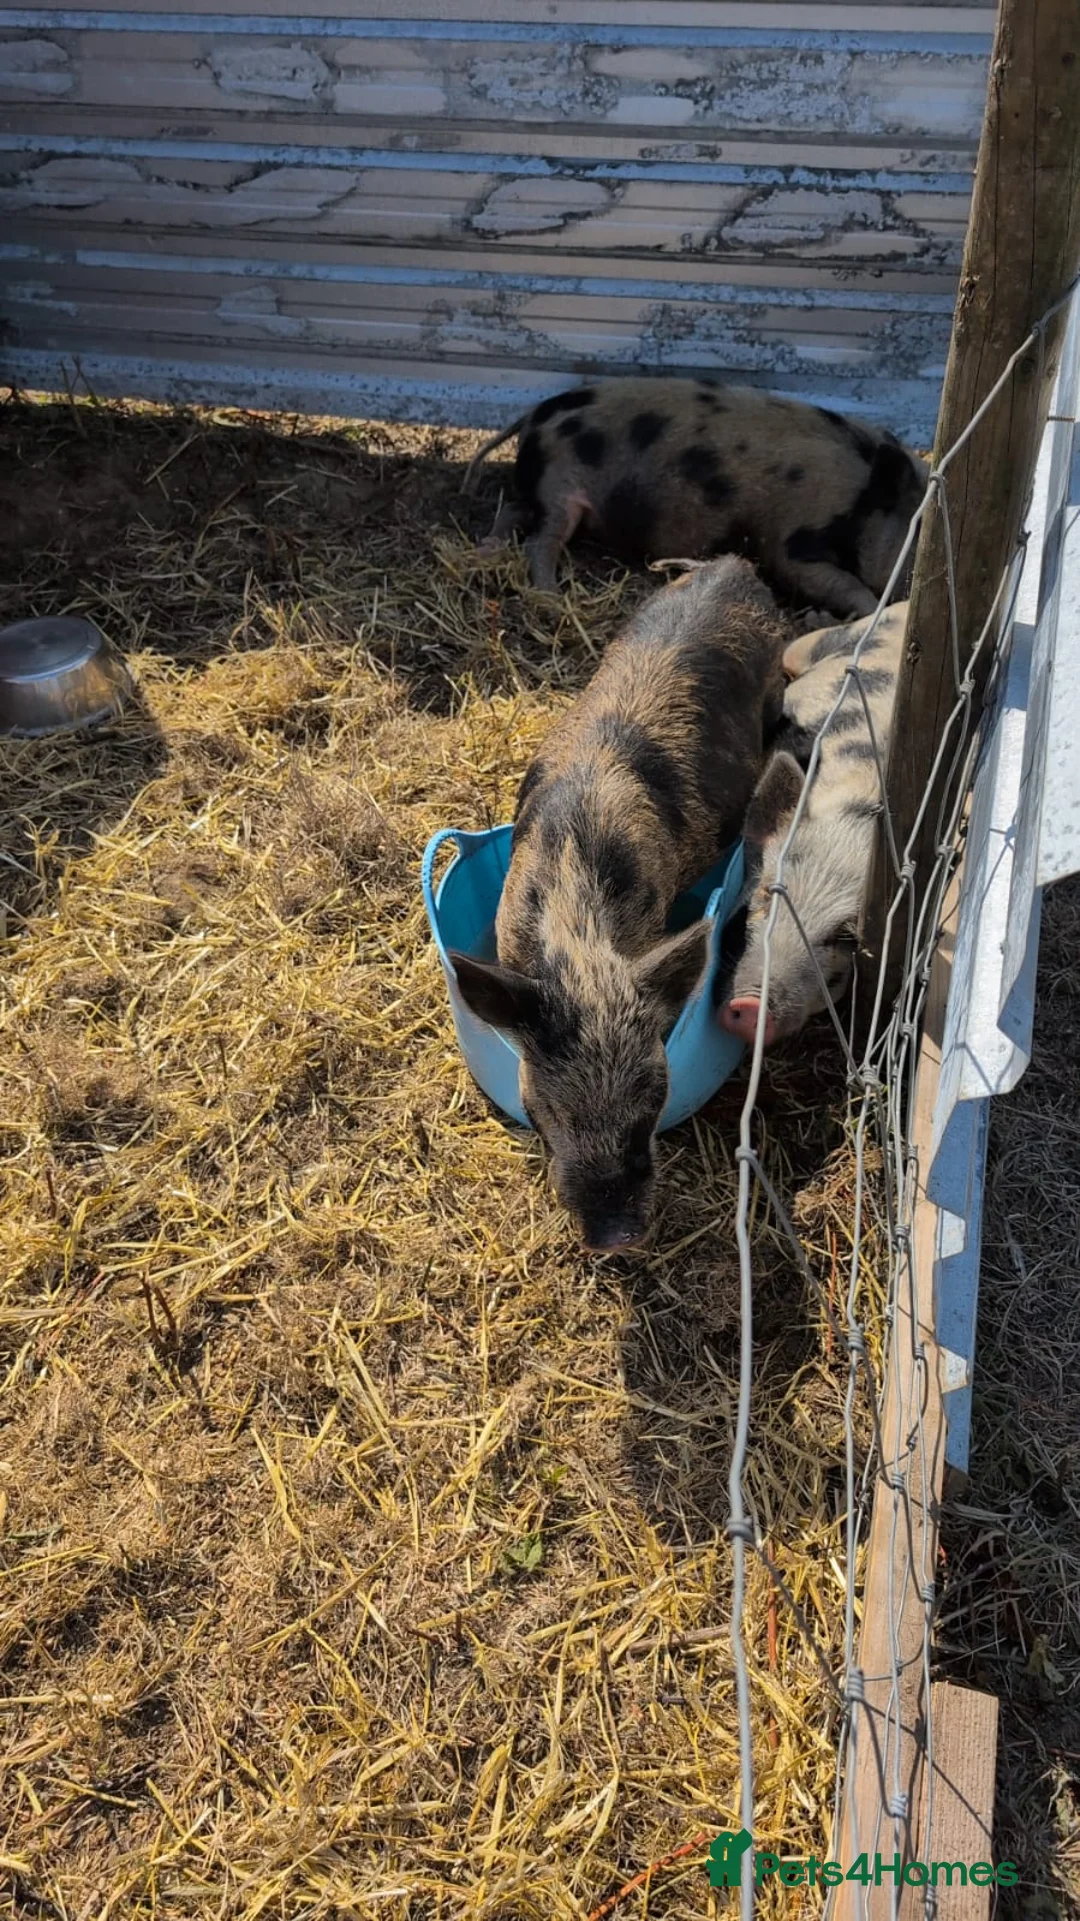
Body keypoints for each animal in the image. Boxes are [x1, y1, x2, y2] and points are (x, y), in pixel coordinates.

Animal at [464, 378, 926, 619]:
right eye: (919, 528)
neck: (864, 497)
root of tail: (533, 417)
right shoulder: (792, 540)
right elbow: (838, 582)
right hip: (561, 489)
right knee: (541, 541)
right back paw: (553, 597)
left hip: (543, 493)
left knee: (514, 511)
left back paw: (488, 550)